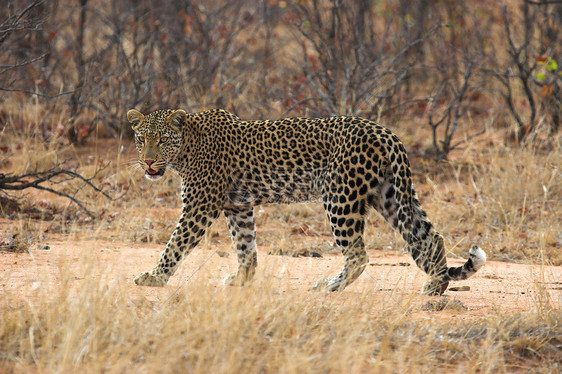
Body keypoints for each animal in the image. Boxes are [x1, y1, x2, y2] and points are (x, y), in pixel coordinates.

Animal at [128, 108, 486, 296]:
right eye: (141, 139)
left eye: (162, 140)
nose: (148, 162)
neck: (186, 148)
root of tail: (387, 133)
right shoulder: (238, 206)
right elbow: (245, 246)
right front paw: (243, 279)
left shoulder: (199, 207)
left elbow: (175, 244)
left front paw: (154, 277)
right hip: (389, 195)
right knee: (430, 237)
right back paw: (435, 285)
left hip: (340, 198)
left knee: (358, 254)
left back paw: (330, 286)